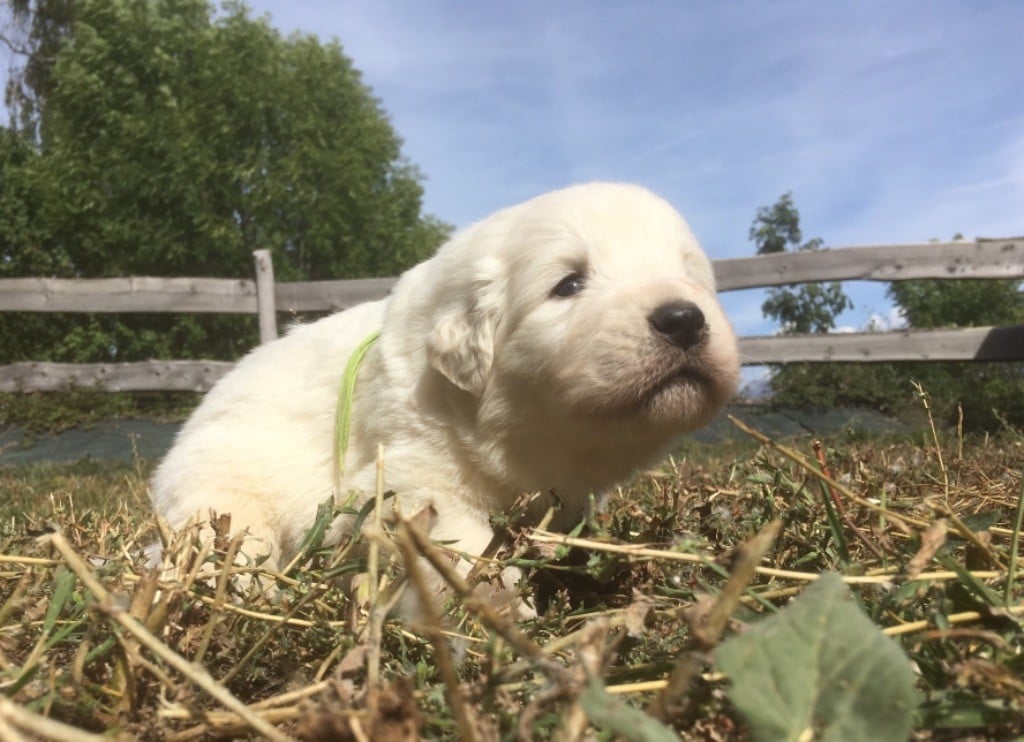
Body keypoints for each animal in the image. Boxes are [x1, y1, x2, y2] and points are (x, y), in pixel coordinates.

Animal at [149, 186, 737, 597]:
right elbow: (463, 547)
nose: (684, 319)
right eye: (568, 284)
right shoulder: (410, 482)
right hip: (218, 491)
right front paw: (505, 608)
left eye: (690, 275)